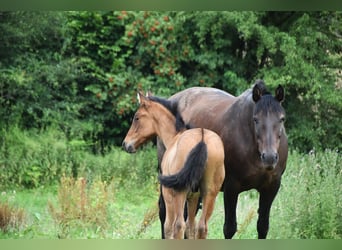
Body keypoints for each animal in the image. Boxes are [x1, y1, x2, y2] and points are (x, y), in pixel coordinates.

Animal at [122, 92, 224, 238]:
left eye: (137, 118)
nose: (126, 144)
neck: (174, 137)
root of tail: (202, 138)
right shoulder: (194, 197)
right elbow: (190, 227)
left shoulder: (168, 193)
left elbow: (168, 227)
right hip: (210, 194)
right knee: (201, 227)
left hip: (180, 193)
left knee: (178, 225)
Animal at [158, 80, 288, 238]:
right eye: (255, 119)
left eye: (282, 119)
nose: (269, 157)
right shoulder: (231, 187)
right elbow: (229, 228)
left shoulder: (271, 187)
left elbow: (263, 226)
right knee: (164, 213)